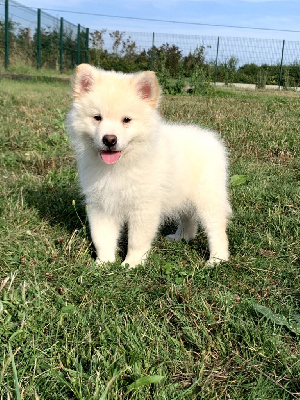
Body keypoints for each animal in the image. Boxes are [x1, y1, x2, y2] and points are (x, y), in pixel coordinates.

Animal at [67, 63, 232, 268]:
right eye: (97, 117)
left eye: (126, 120)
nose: (109, 140)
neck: (122, 164)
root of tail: (211, 138)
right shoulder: (101, 205)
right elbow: (102, 237)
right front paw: (103, 263)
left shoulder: (144, 206)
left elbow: (136, 240)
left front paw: (132, 264)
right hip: (185, 195)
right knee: (188, 218)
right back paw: (181, 237)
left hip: (208, 197)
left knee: (216, 228)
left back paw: (217, 259)